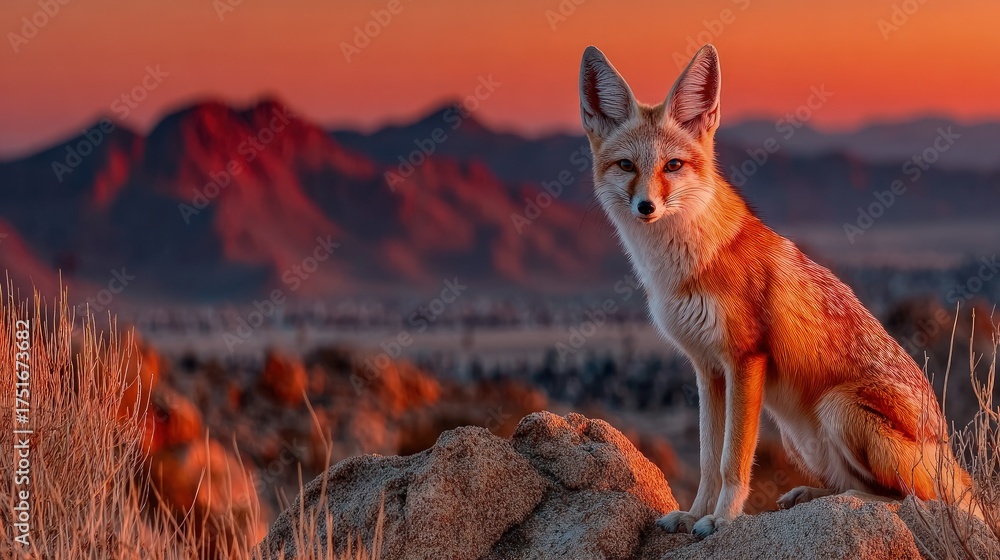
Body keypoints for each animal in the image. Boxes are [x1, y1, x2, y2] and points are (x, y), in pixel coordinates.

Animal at [578, 44, 981, 538]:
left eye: (672, 165)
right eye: (626, 166)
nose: (646, 207)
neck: (683, 267)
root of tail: (948, 453)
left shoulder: (745, 359)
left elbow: (733, 461)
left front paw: (722, 519)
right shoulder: (707, 369)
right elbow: (708, 460)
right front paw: (694, 513)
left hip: (837, 409)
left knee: (908, 499)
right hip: (800, 434)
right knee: (860, 488)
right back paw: (807, 494)